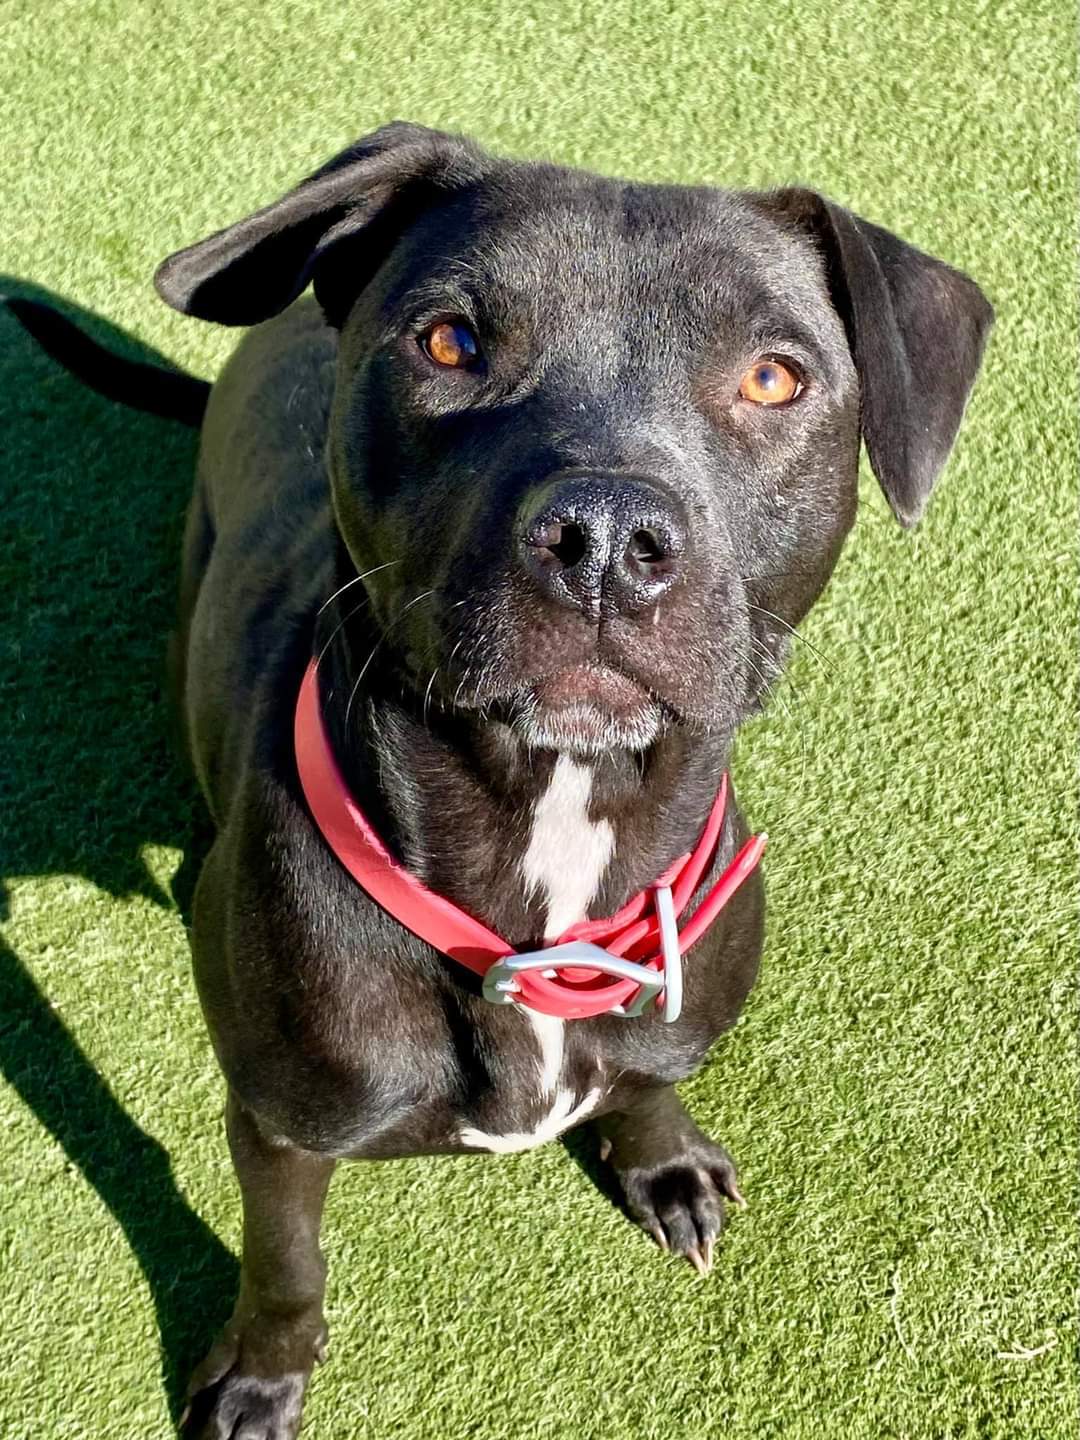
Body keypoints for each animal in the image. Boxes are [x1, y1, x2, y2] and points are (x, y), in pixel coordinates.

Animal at [12, 123, 996, 1440]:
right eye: (450, 343)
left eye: (773, 378)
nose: (606, 537)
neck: (551, 842)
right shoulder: (279, 1124)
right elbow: (287, 1263)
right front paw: (264, 1374)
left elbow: (647, 1085)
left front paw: (659, 1159)